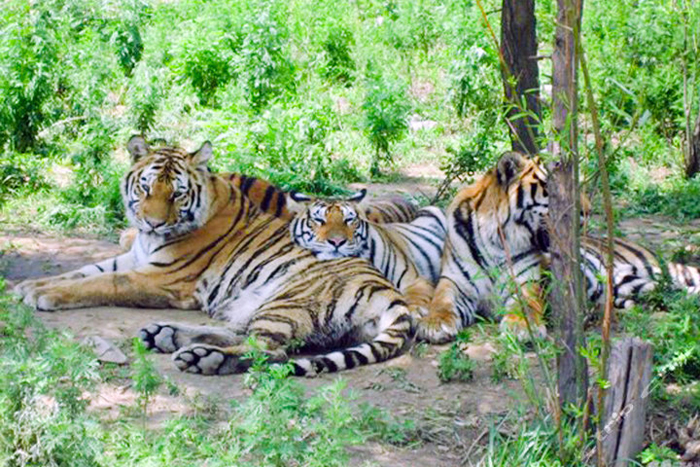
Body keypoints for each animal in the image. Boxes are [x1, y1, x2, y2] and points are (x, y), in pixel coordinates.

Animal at [15, 137, 416, 378]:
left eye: (176, 194)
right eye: (146, 187)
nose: (152, 221)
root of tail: (388, 290)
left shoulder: (162, 277)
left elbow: (103, 282)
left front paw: (43, 294)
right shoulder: (134, 258)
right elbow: (83, 271)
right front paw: (29, 285)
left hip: (288, 301)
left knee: (270, 350)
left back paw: (201, 357)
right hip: (256, 303)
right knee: (242, 333)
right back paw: (166, 336)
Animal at [286, 190, 446, 314]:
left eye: (349, 219)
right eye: (319, 220)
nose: (337, 242)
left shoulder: (415, 280)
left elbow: (415, 299)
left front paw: (417, 313)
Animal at [416, 152, 700, 346]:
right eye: (551, 188)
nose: (587, 211)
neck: (497, 240)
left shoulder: (527, 282)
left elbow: (525, 305)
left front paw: (522, 327)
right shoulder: (454, 282)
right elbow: (441, 301)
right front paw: (434, 324)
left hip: (667, 272)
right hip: (634, 285)